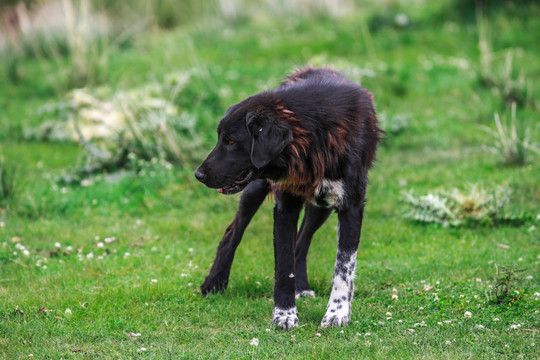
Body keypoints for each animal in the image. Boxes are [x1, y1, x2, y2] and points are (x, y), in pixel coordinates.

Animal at [196, 67, 382, 330]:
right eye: (220, 138)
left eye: (231, 141)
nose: (198, 175)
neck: (317, 135)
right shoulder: (285, 206)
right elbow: (283, 267)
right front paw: (284, 314)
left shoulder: (351, 206)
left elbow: (344, 267)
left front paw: (337, 312)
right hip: (256, 189)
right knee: (232, 233)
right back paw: (214, 283)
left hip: (322, 206)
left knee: (302, 241)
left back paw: (302, 288)